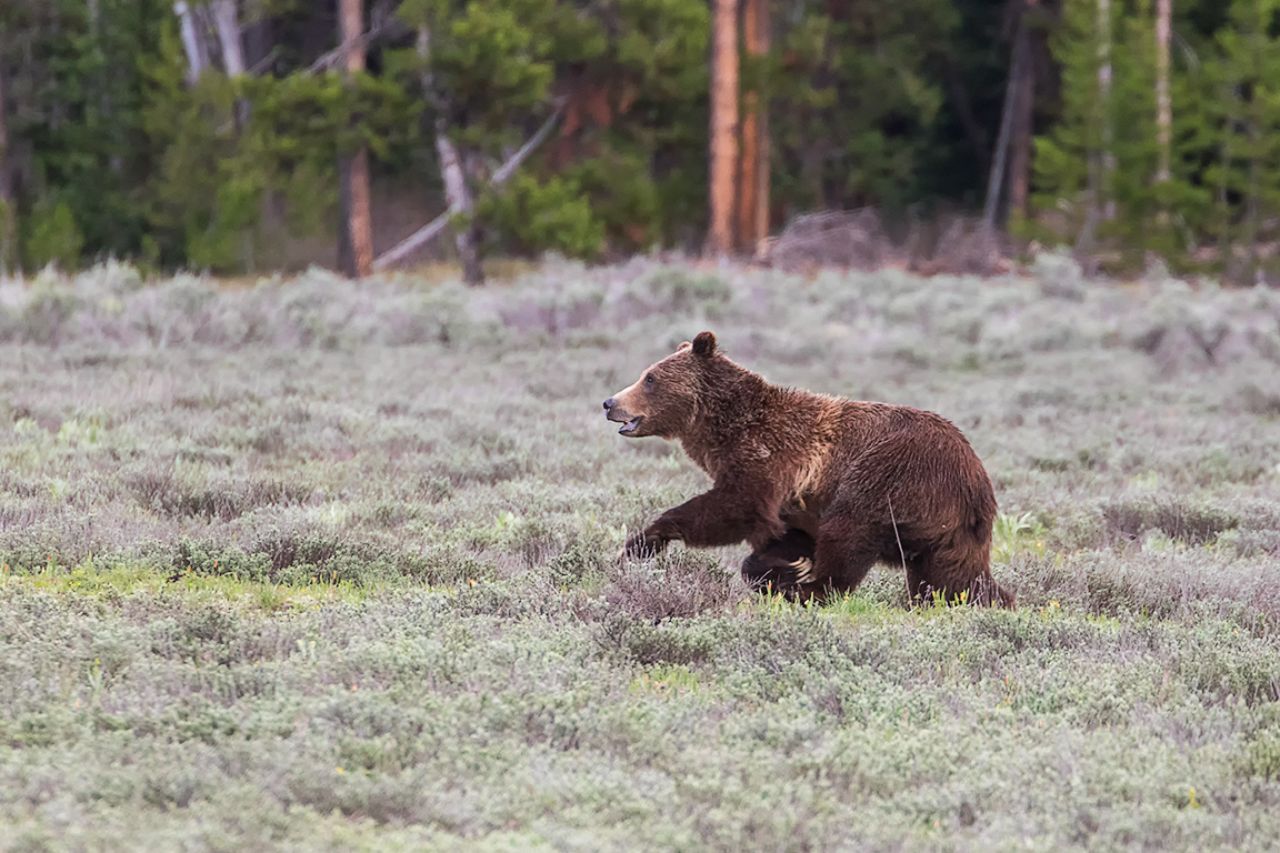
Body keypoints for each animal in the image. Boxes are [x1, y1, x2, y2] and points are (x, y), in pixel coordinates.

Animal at [603, 331, 1013, 607]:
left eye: (650, 378)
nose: (610, 402)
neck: (724, 430)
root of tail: (976, 478)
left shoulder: (768, 460)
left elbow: (732, 506)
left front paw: (645, 539)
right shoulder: (794, 502)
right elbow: (783, 536)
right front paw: (781, 566)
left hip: (888, 476)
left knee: (848, 534)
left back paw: (809, 590)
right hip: (950, 533)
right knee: (954, 578)